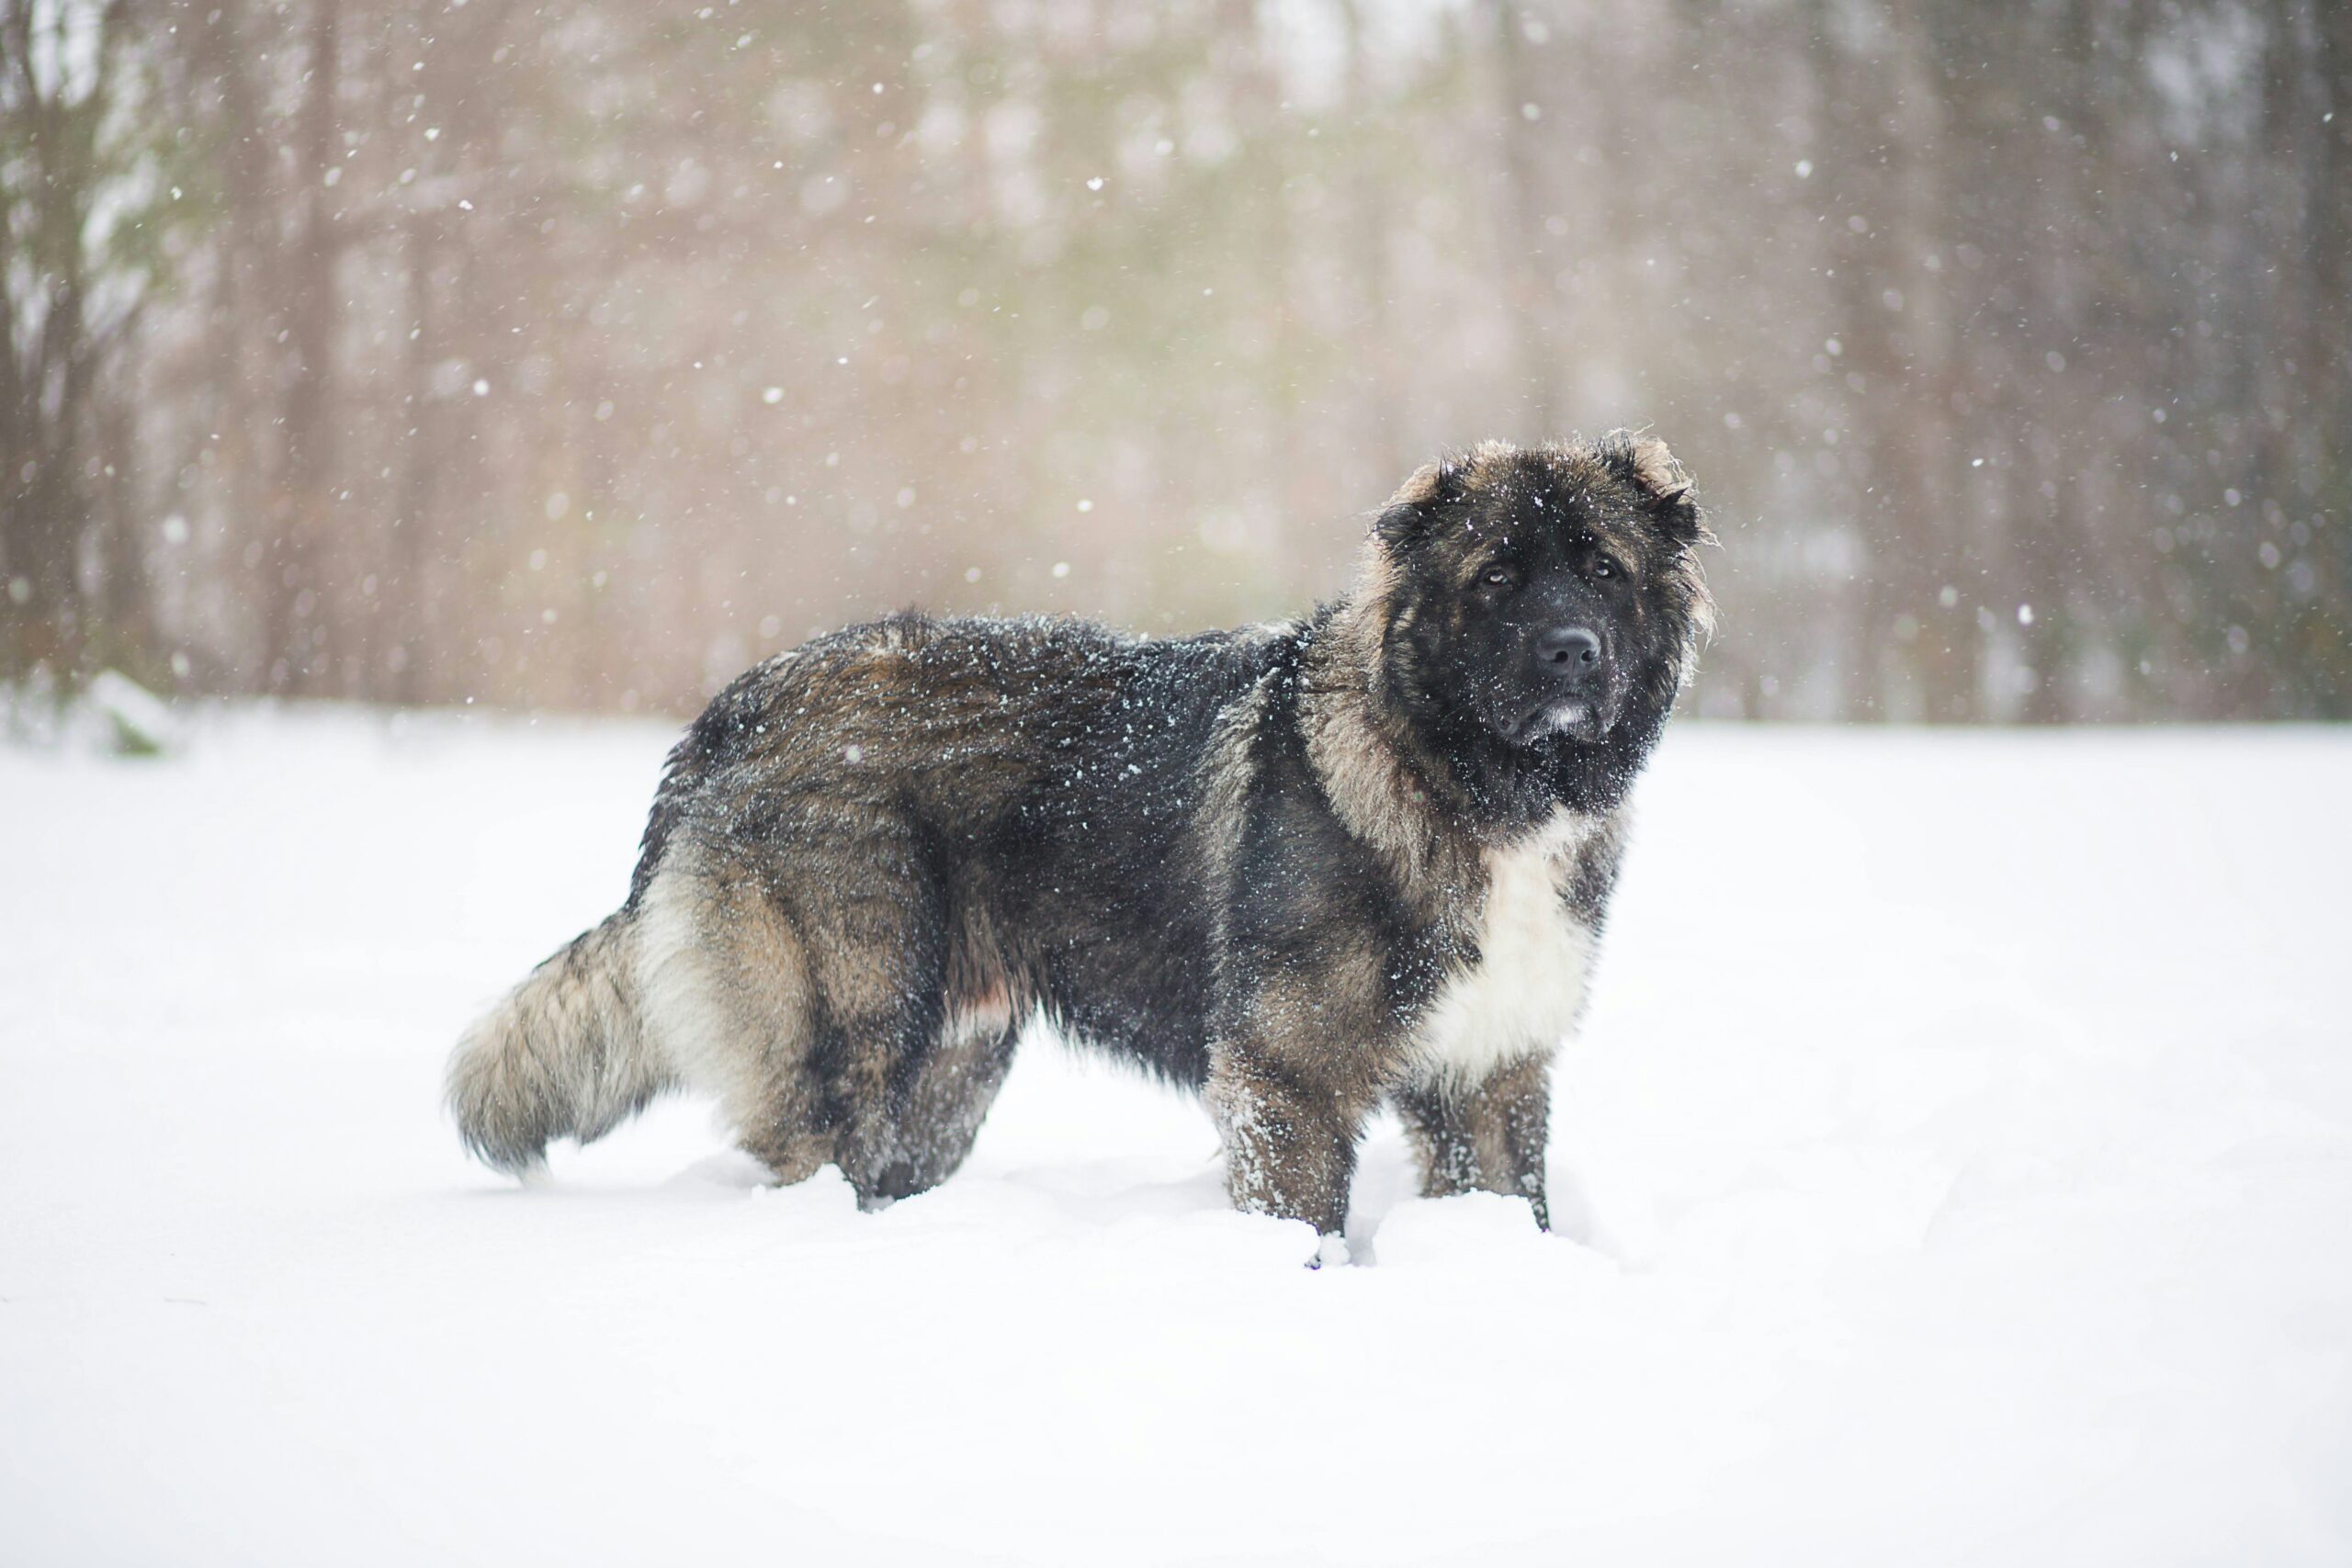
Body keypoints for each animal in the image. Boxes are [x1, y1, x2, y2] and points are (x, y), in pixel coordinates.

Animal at [448, 434, 1721, 1241]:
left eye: (1601, 569)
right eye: (1496, 575)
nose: (1571, 653)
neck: (1465, 780)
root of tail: (735, 709)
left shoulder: (1492, 1075)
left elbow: (1518, 1208)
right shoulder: (1288, 1079)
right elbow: (1302, 1223)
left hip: (949, 1075)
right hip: (851, 1034)